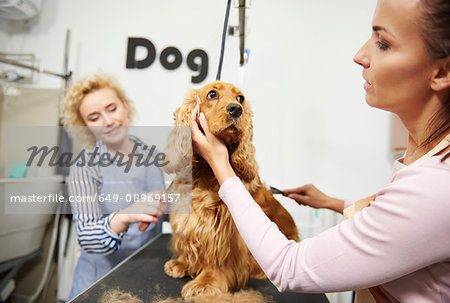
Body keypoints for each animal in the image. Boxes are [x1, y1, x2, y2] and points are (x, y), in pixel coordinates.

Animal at [162, 80, 298, 302]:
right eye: (212, 94)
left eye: (240, 98)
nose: (236, 109)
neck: (206, 174)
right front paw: (182, 263)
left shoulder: (227, 231)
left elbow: (220, 260)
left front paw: (205, 283)